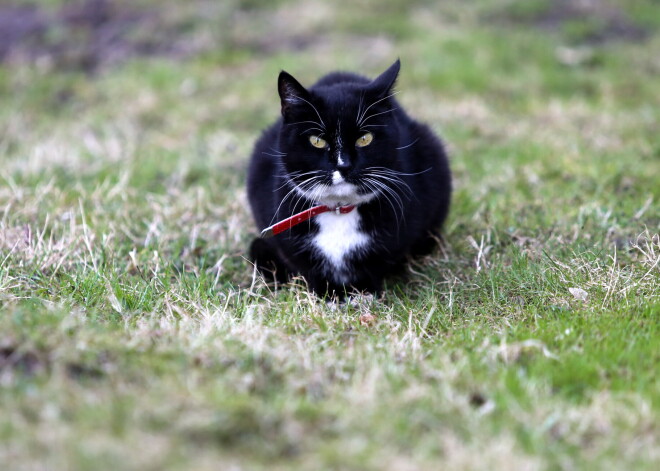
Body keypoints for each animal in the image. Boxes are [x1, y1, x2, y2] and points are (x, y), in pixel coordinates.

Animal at [245, 59, 452, 296]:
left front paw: (362, 293)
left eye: (365, 138)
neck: (339, 210)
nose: (344, 165)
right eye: (317, 141)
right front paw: (327, 294)